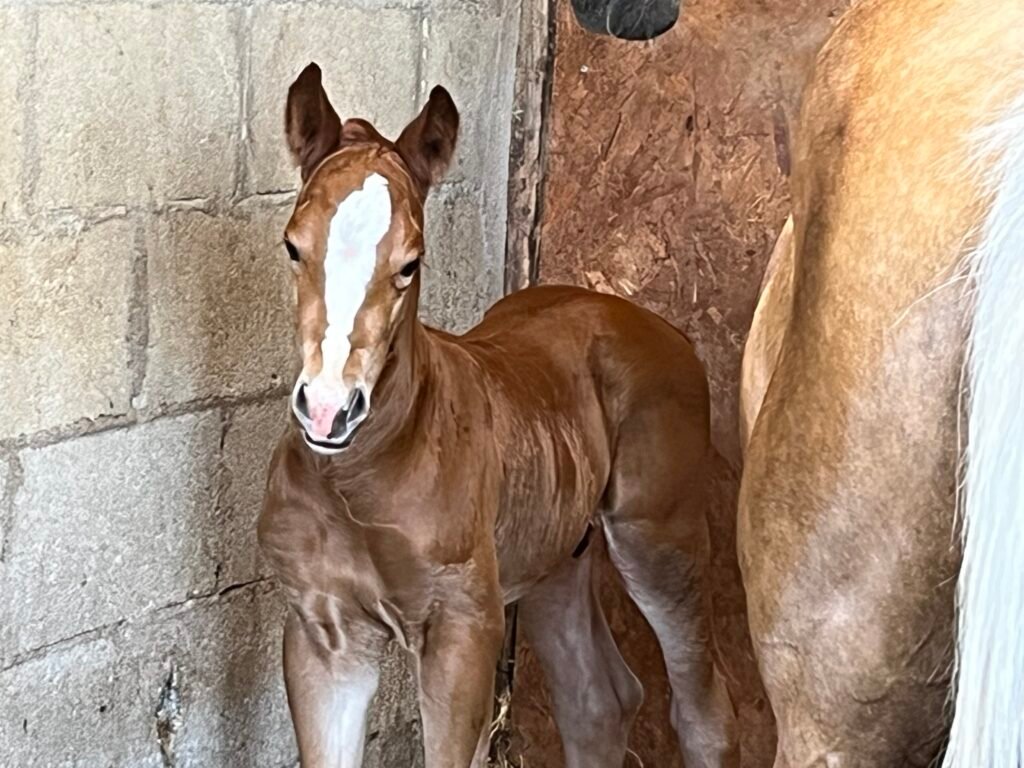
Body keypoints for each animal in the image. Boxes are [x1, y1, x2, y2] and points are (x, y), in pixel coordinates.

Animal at [256, 63, 738, 768]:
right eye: (293, 247)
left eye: (411, 263)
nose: (326, 411)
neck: (368, 475)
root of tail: (658, 326)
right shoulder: (326, 636)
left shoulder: (463, 635)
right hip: (557, 561)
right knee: (598, 700)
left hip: (660, 542)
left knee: (704, 715)